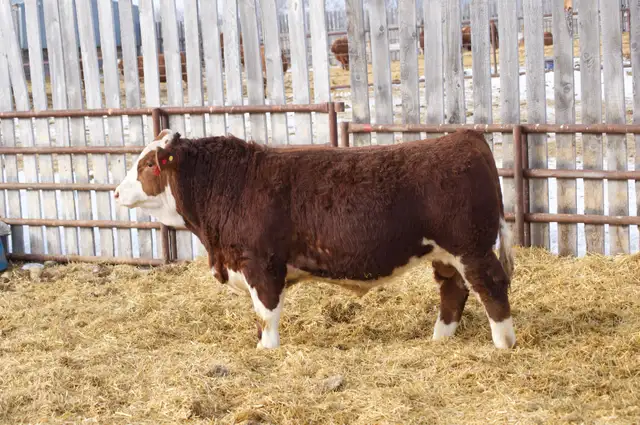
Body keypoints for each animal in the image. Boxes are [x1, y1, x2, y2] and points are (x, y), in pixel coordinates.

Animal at [114, 129, 516, 350]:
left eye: (148, 164)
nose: (116, 192)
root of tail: (466, 137)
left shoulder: (262, 265)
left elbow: (267, 315)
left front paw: (267, 351)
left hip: (472, 248)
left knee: (491, 287)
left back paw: (503, 344)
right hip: (446, 254)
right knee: (454, 290)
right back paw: (440, 339)